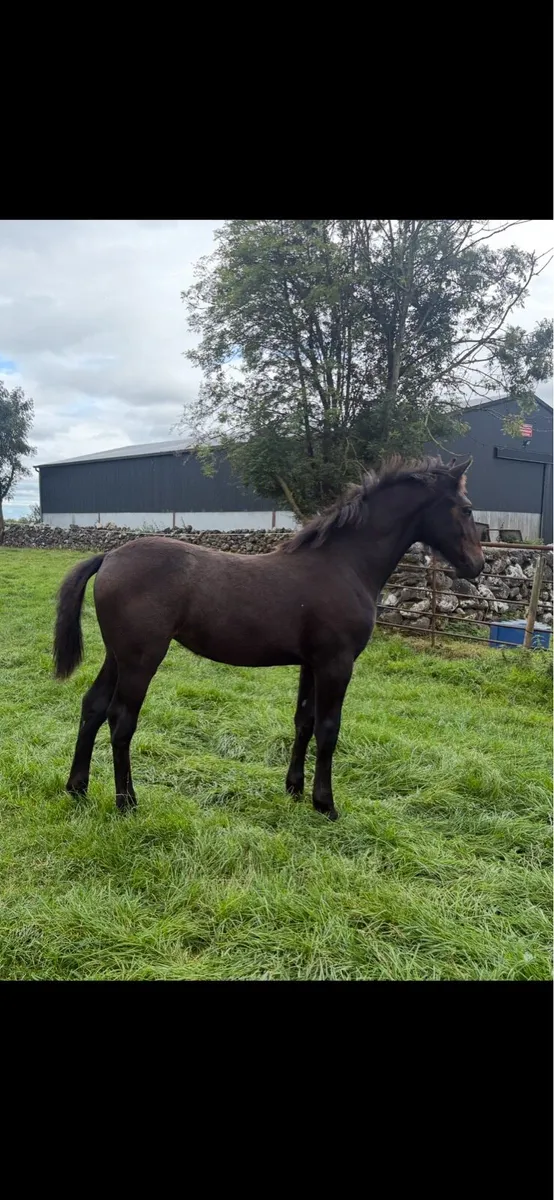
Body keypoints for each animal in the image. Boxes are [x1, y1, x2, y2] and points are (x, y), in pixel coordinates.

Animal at [53, 455, 484, 821]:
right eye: (466, 508)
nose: (476, 566)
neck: (344, 564)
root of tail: (109, 556)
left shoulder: (311, 663)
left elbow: (304, 721)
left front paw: (294, 789)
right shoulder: (336, 663)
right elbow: (329, 729)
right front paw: (325, 804)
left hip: (118, 656)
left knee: (93, 706)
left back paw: (77, 788)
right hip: (142, 659)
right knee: (121, 719)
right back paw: (127, 802)